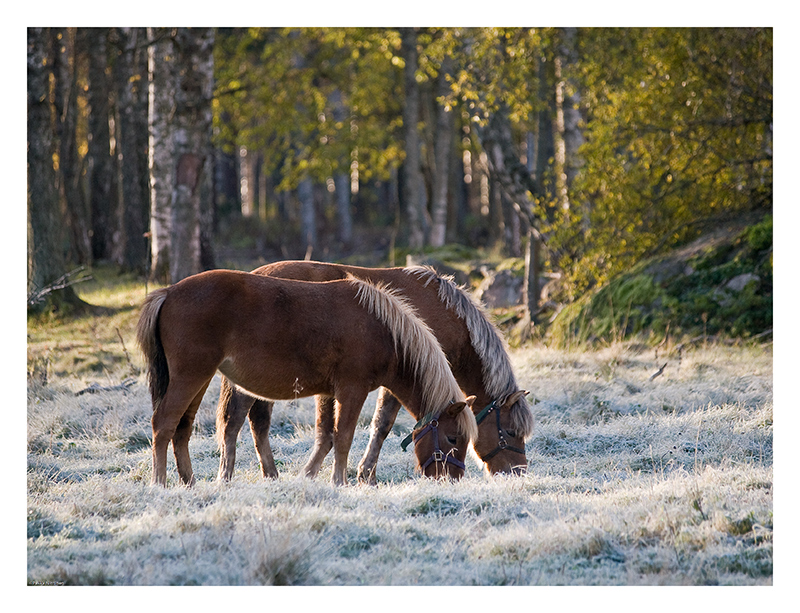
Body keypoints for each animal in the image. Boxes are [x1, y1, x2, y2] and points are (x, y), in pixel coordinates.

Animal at [134, 270, 478, 486]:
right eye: (453, 439)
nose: (451, 480)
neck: (382, 328)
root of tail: (168, 292)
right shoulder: (351, 390)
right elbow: (342, 436)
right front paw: (339, 482)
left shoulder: (333, 392)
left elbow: (330, 435)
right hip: (190, 376)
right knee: (164, 424)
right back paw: (159, 483)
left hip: (199, 379)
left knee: (183, 428)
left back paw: (190, 482)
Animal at [216, 260, 536, 486]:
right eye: (510, 432)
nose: (517, 473)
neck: (440, 313)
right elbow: (380, 425)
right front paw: (362, 474)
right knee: (242, 421)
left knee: (256, 423)